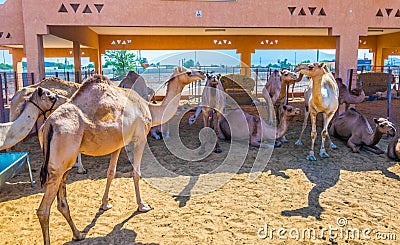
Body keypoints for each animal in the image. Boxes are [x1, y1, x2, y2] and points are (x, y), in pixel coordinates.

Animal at [36, 67, 205, 245]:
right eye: (188, 73)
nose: (203, 73)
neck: (150, 109)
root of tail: (48, 125)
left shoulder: (117, 144)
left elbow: (111, 172)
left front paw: (105, 204)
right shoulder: (140, 138)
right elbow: (136, 173)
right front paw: (142, 205)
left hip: (64, 164)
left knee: (61, 202)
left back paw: (78, 234)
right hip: (60, 161)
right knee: (43, 210)